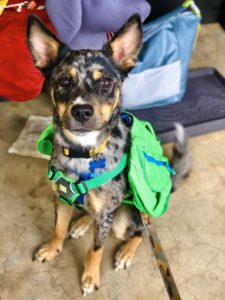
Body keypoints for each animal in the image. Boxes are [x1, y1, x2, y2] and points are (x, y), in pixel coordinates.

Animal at [27, 13, 191, 296]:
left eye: (105, 82)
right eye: (64, 81)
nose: (82, 111)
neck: (83, 152)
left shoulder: (107, 217)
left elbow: (96, 248)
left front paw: (90, 276)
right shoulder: (61, 197)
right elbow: (58, 228)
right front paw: (52, 248)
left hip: (130, 218)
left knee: (139, 233)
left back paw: (125, 251)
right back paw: (82, 222)